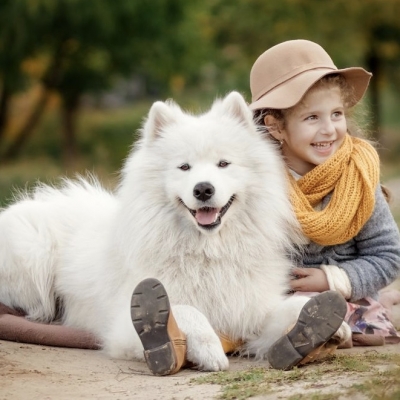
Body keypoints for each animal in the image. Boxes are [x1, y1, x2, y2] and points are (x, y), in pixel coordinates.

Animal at [0, 92, 350, 374]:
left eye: (223, 164)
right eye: (184, 167)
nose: (203, 189)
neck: (209, 252)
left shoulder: (248, 309)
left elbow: (290, 307)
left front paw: (329, 322)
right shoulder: (123, 325)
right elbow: (184, 310)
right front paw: (208, 349)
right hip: (33, 254)